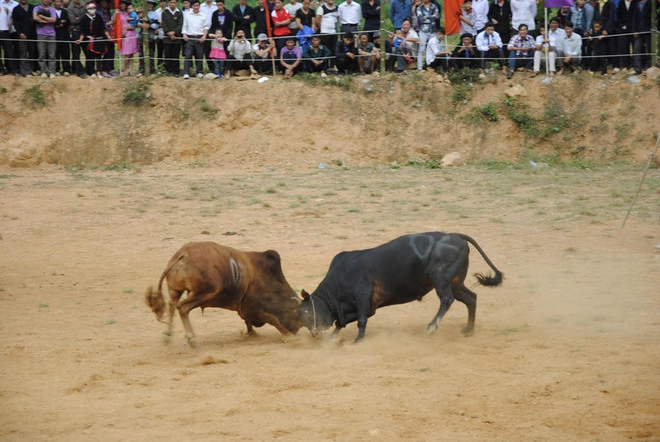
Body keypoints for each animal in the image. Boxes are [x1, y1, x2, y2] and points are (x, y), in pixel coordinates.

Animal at [146, 242, 302, 346]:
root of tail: (183, 254)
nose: (295, 331)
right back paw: (191, 338)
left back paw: (168, 335)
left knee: (172, 306)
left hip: (176, 291)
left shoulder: (245, 310)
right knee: (182, 308)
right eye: (297, 316)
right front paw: (287, 335)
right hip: (204, 294)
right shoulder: (252, 309)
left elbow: (249, 321)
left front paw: (252, 334)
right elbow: (272, 318)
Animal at [296, 231, 502, 342]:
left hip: (440, 277)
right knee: (470, 298)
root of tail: (453, 235)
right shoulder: (368, 306)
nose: (315, 334)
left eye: (307, 313)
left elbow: (361, 320)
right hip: (456, 283)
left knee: (447, 299)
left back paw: (432, 326)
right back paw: (468, 330)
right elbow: (342, 322)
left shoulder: (363, 295)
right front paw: (333, 337)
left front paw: (357, 340)